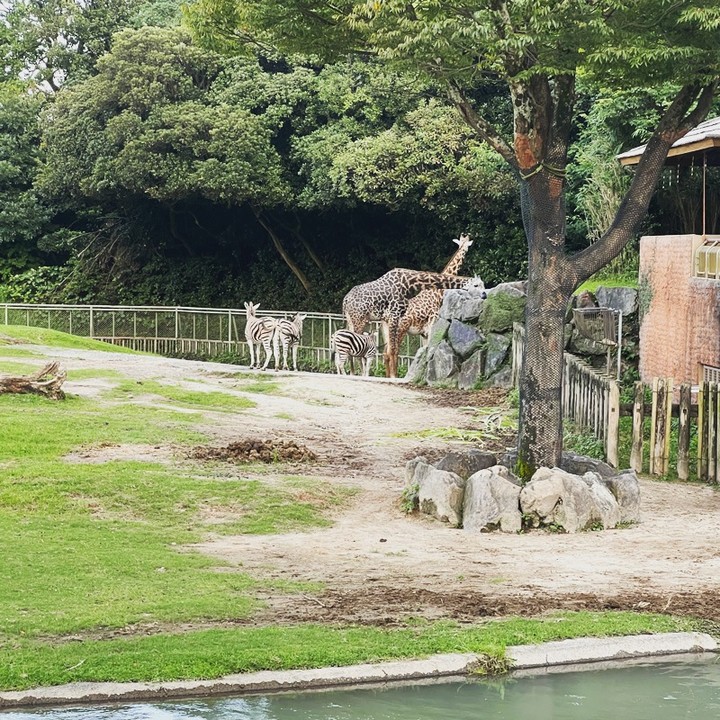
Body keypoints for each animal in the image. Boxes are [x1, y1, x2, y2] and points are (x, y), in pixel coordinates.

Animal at [342, 264, 480, 376]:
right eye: (477, 285)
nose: (483, 294)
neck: (408, 283)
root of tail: (345, 300)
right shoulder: (395, 315)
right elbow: (393, 349)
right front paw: (394, 376)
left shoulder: (392, 319)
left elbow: (394, 349)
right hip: (359, 320)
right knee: (358, 344)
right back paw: (360, 373)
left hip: (352, 320)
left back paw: (353, 373)